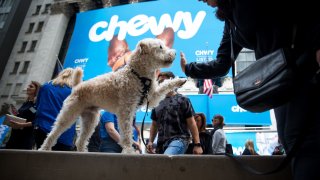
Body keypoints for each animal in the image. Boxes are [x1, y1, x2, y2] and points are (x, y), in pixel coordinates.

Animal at [39, 38, 186, 153]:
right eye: (160, 47)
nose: (174, 53)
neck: (137, 74)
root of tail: (77, 86)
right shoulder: (126, 111)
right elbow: (126, 134)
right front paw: (129, 151)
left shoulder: (152, 96)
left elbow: (165, 85)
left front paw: (180, 81)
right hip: (69, 113)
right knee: (54, 132)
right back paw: (44, 148)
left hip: (90, 119)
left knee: (80, 140)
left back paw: (82, 151)